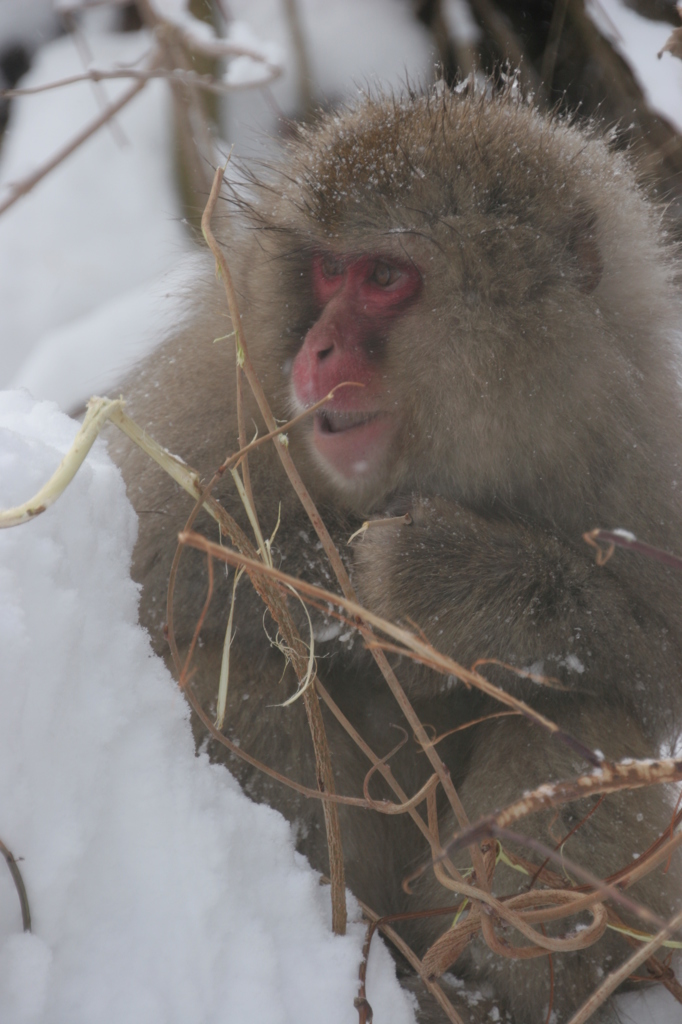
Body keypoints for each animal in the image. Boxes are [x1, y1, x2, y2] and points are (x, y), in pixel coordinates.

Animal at [112, 90, 682, 1024]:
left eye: (383, 278)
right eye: (326, 272)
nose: (318, 351)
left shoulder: (638, 447)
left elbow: (655, 663)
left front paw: (440, 579)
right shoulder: (214, 407)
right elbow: (161, 598)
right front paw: (328, 585)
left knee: (577, 718)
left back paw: (490, 984)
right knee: (244, 676)